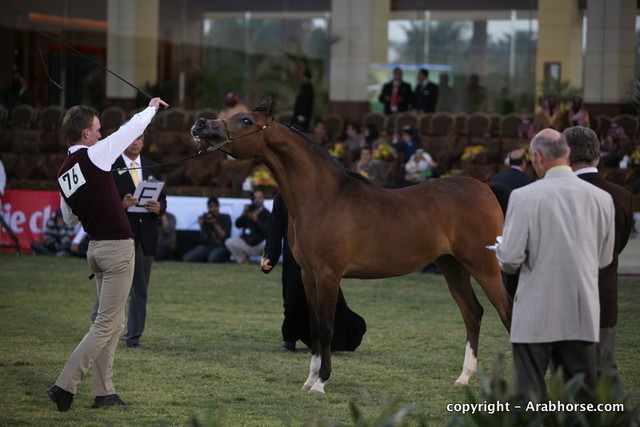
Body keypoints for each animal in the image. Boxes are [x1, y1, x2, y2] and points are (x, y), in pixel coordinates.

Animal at [190, 97, 512, 394]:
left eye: (246, 120)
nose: (200, 124)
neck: (323, 198)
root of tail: (485, 188)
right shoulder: (309, 276)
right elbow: (315, 327)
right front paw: (309, 381)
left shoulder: (328, 275)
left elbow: (326, 328)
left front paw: (321, 382)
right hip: (452, 265)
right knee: (473, 313)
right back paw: (464, 378)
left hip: (483, 266)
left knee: (507, 312)